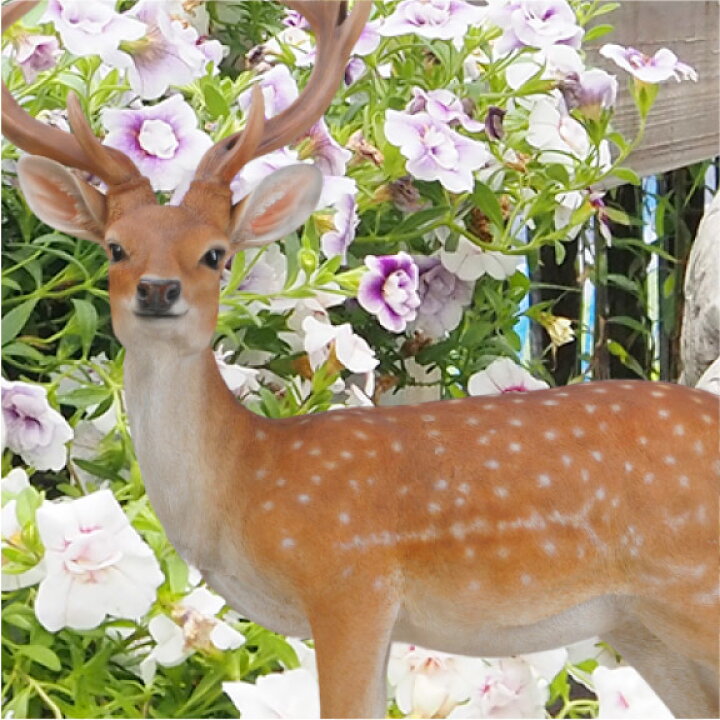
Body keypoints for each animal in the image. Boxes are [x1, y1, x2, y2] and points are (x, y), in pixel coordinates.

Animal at [2, 1, 719, 717]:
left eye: (214, 254)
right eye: (116, 247)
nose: (157, 289)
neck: (245, 479)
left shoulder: (350, 580)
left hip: (691, 587)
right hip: (640, 623)